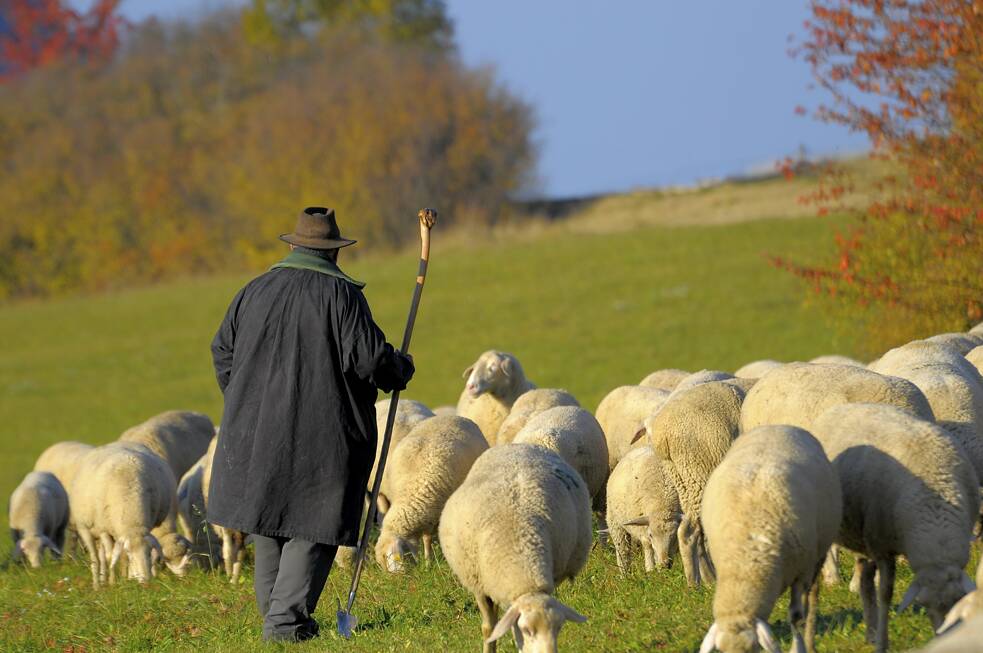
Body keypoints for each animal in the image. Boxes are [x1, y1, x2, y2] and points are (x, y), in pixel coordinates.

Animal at [70, 442, 180, 587]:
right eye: (129, 552)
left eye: (148, 552)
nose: (145, 582)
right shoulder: (103, 529)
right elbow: (112, 556)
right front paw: (113, 582)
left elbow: (120, 557)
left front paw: (127, 578)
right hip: (85, 528)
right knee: (96, 558)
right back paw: (97, 585)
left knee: (102, 555)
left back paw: (104, 580)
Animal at [699, 425, 841, 653]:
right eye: (720, 651)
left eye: (754, 648)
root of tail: (779, 426)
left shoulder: (801, 573)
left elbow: (796, 617)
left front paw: (798, 647)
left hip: (817, 556)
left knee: (812, 596)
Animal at [811, 403, 980, 652]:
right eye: (922, 603)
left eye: (958, 600)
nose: (941, 637)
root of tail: (843, 406)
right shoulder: (883, 548)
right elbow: (885, 595)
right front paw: (883, 642)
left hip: (861, 536)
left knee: (865, 581)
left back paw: (870, 631)